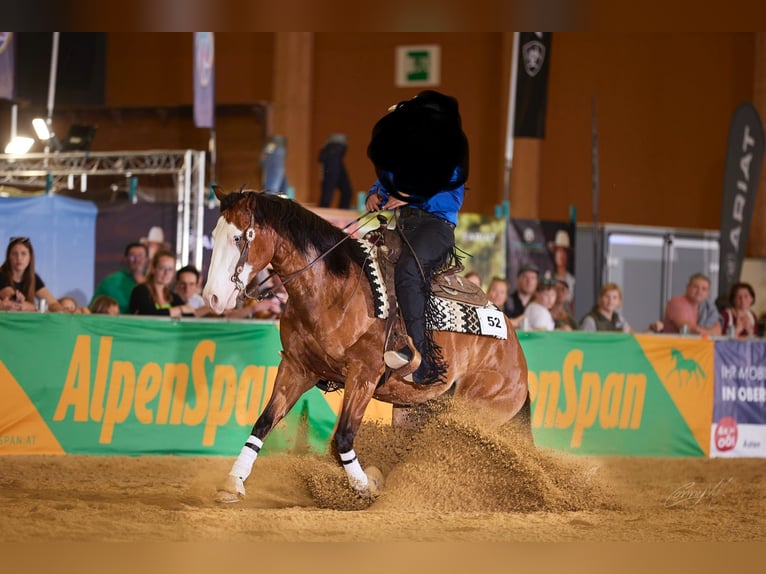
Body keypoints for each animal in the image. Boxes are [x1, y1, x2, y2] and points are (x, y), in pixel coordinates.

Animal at [203, 188, 530, 501]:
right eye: (214, 234)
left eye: (237, 237)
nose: (212, 298)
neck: (332, 290)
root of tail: (517, 357)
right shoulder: (297, 368)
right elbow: (264, 422)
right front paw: (233, 482)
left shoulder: (363, 374)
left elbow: (343, 436)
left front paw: (365, 486)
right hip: (412, 411)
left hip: (473, 410)